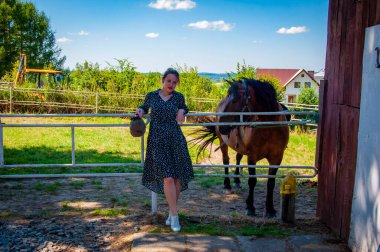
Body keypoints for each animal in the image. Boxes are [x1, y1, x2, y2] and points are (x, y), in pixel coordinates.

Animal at [194, 78, 290, 217]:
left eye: (235, 100)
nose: (221, 126)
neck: (269, 127)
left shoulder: (277, 158)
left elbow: (270, 183)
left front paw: (270, 209)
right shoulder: (252, 157)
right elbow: (252, 181)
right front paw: (250, 207)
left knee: (238, 158)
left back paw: (237, 181)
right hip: (222, 142)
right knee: (226, 160)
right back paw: (227, 186)